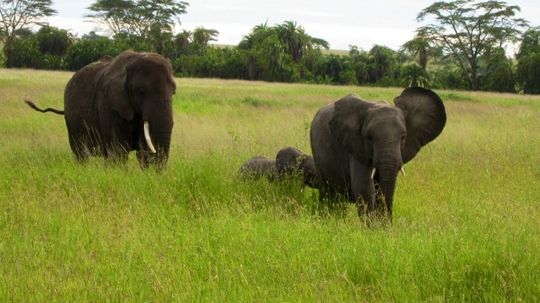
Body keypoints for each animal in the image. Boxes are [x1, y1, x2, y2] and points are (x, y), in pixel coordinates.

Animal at [310, 87, 446, 218]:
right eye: (369, 137)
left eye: (403, 137)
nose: (389, 222)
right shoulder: (355, 146)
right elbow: (363, 188)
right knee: (329, 193)